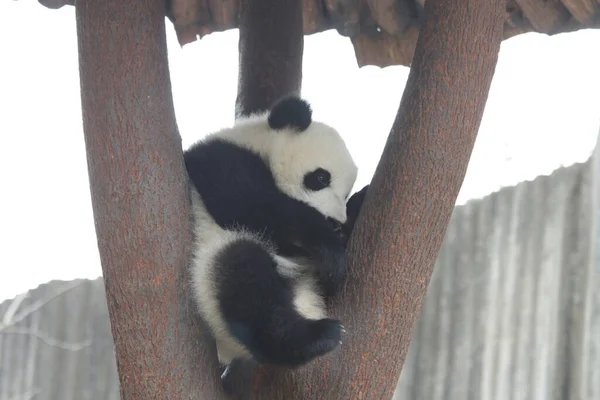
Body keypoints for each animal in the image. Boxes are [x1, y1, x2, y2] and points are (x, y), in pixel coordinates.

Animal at [185, 94, 368, 372]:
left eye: (345, 194)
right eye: (321, 178)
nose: (335, 221)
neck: (261, 144)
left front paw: (357, 205)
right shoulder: (220, 158)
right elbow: (250, 204)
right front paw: (330, 248)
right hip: (207, 269)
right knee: (247, 281)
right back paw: (313, 337)